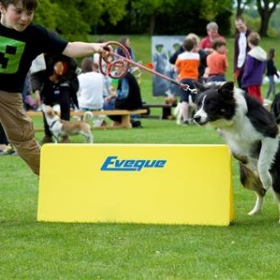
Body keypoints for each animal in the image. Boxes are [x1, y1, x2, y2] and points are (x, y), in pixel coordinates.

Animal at [194, 81, 280, 223]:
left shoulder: (270, 132)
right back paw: (255, 211)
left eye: (211, 104)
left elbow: (262, 162)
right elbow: (240, 155)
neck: (234, 118)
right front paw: (251, 163)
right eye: (198, 104)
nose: (196, 118)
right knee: (261, 192)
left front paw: (265, 178)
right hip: (244, 178)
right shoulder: (233, 141)